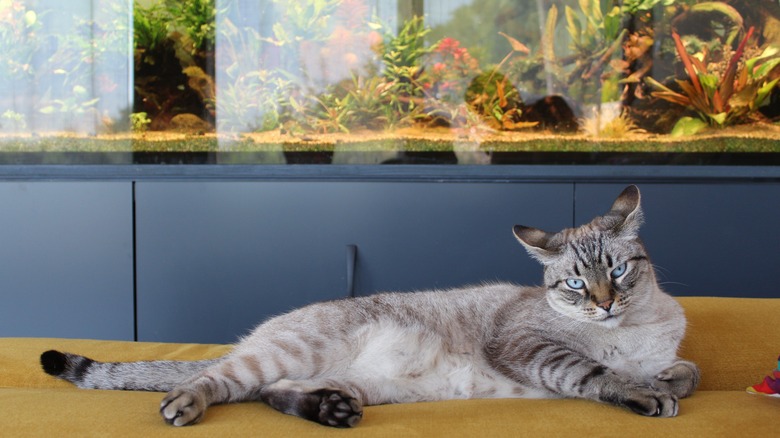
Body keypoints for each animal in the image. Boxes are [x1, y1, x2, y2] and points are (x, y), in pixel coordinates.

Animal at [41, 185, 700, 428]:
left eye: (618, 271)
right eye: (574, 285)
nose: (606, 303)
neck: (634, 328)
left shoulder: (668, 351)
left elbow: (687, 371)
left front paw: (664, 378)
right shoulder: (527, 345)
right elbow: (597, 373)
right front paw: (643, 392)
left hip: (369, 386)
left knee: (276, 394)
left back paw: (331, 411)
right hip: (280, 354)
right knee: (217, 381)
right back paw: (184, 405)